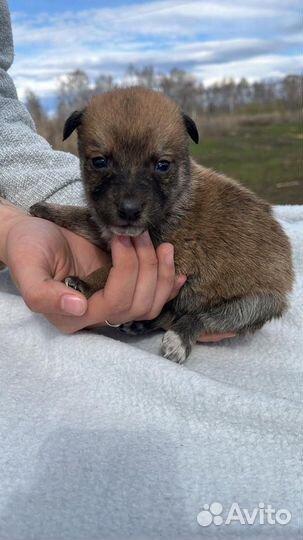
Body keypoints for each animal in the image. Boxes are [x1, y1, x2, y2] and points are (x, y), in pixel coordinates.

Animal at [30, 87, 294, 362]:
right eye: (100, 162)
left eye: (162, 165)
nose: (129, 210)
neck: (177, 197)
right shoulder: (106, 227)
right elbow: (81, 216)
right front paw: (44, 209)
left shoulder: (173, 257)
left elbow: (110, 269)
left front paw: (86, 282)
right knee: (168, 313)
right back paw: (141, 324)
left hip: (249, 305)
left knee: (199, 318)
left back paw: (178, 339)